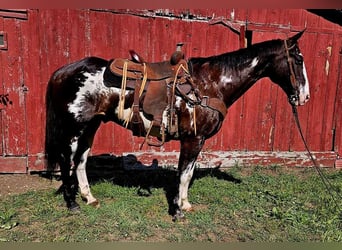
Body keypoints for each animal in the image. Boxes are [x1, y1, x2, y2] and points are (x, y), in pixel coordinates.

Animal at [44, 29, 310, 221]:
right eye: (298, 59)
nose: (304, 97)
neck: (209, 85)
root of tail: (62, 72)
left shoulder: (196, 140)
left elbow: (188, 173)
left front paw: (185, 204)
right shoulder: (193, 139)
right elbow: (183, 174)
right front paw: (178, 211)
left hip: (91, 125)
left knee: (80, 161)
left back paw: (89, 198)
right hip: (73, 128)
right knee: (67, 161)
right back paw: (73, 203)